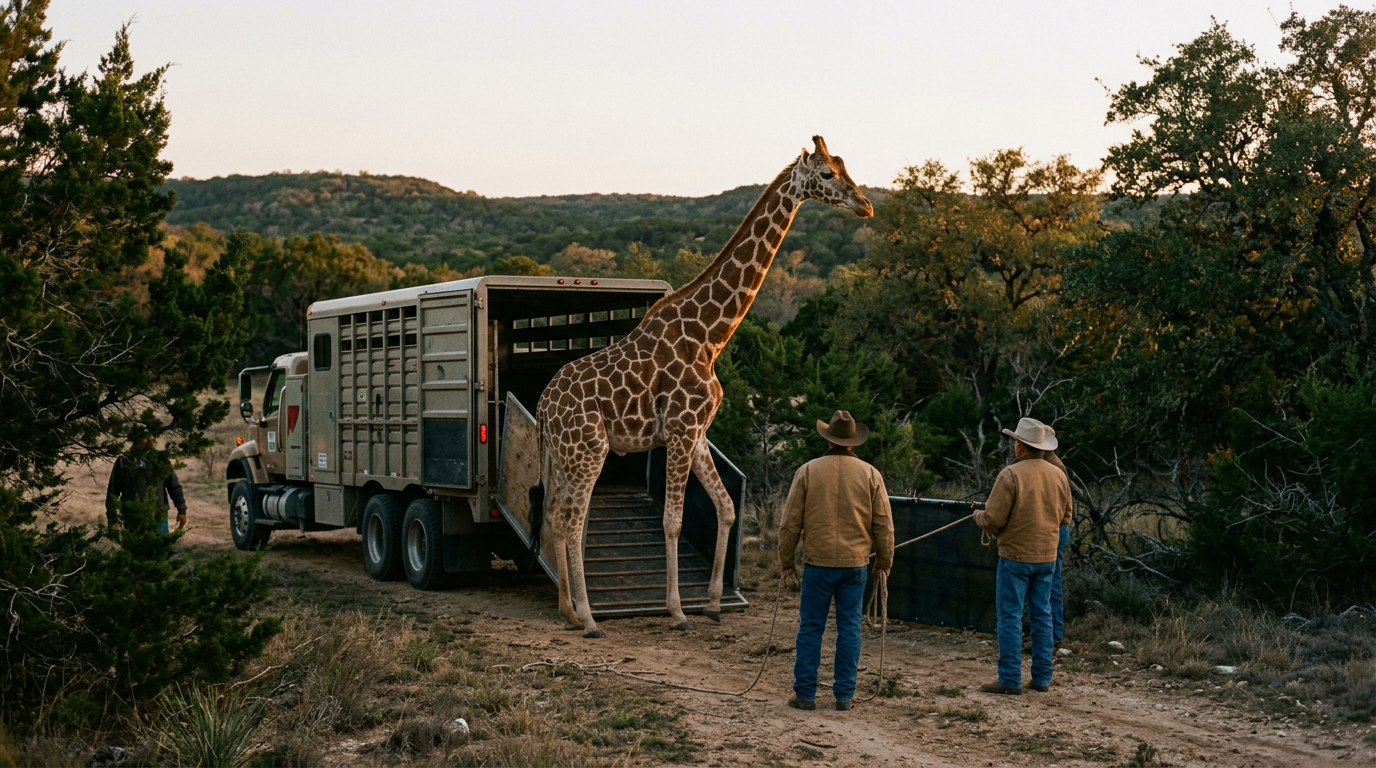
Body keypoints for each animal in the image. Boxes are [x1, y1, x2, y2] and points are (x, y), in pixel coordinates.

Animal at [537, 136, 873, 638]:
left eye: (843, 164)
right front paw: (677, 611)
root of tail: (542, 404)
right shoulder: (680, 429)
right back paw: (590, 618)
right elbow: (673, 521)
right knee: (575, 521)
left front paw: (713, 602)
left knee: (556, 516)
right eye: (827, 174)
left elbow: (727, 507)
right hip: (589, 450)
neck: (710, 335)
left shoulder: (697, 433)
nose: (866, 205)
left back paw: (566, 609)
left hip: (564, 456)